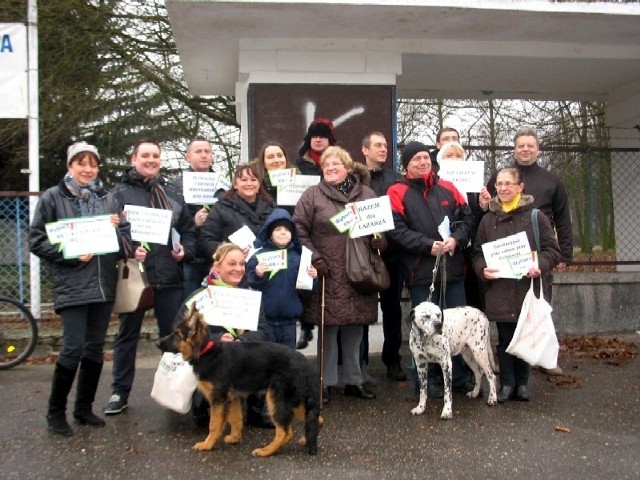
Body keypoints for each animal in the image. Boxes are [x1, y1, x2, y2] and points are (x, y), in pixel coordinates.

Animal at [158, 308, 322, 458]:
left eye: (177, 334)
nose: (157, 343)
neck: (206, 351)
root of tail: (306, 364)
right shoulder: (233, 398)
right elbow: (236, 419)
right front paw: (234, 438)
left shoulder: (218, 400)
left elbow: (214, 425)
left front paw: (207, 444)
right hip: (296, 402)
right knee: (317, 420)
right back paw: (306, 440)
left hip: (277, 401)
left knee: (285, 433)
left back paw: (266, 451)